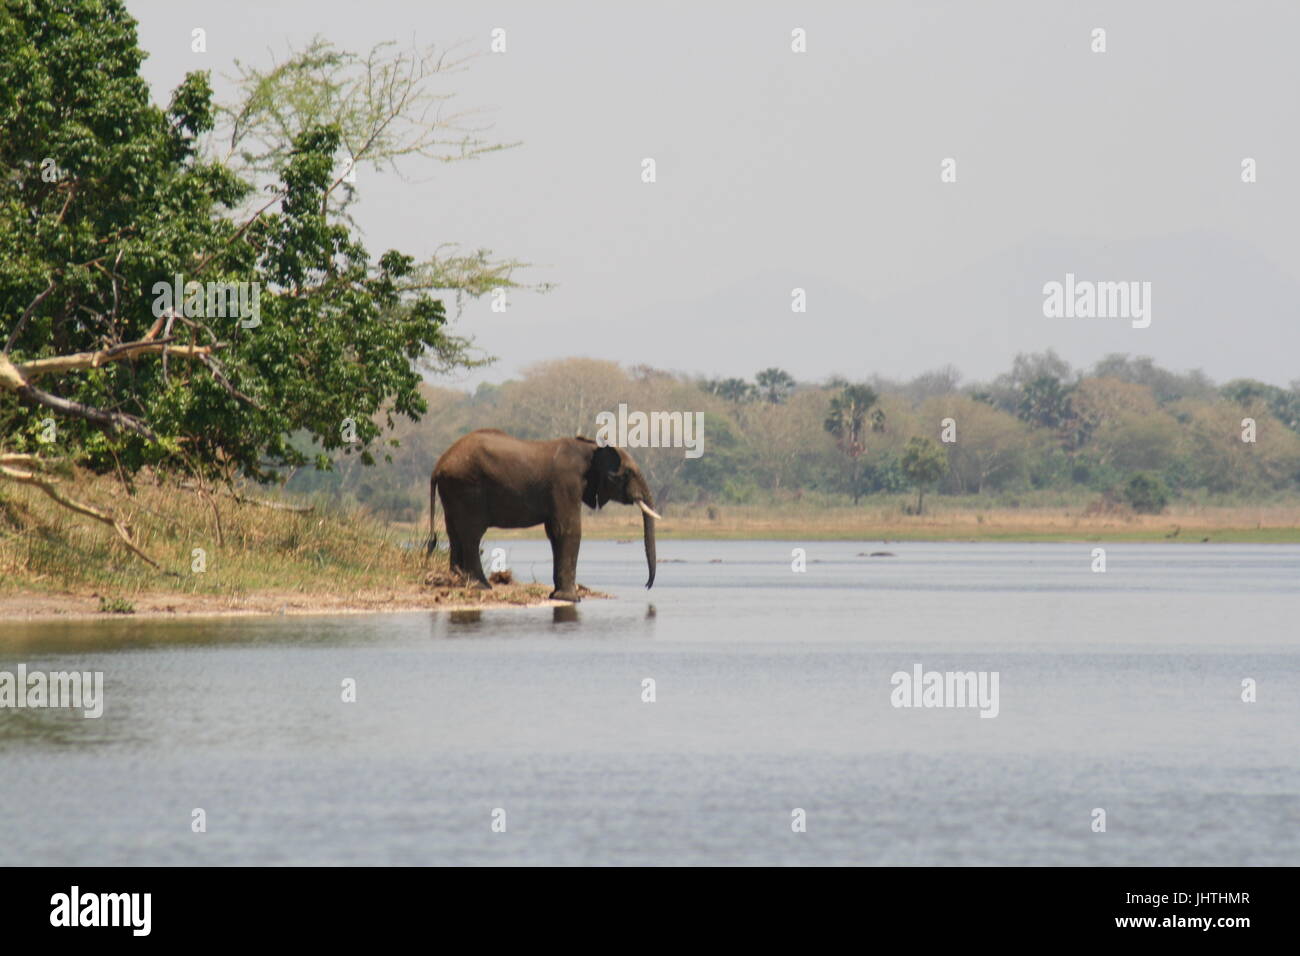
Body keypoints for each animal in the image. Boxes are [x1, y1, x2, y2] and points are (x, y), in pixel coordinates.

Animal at [427, 429, 660, 602]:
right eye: (627, 474)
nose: (647, 586)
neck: (591, 447)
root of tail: (439, 464)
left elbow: (555, 532)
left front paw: (557, 596)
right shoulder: (566, 483)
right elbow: (568, 529)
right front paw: (571, 599)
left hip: (453, 489)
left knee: (454, 531)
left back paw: (459, 579)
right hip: (467, 486)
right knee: (472, 534)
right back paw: (481, 586)